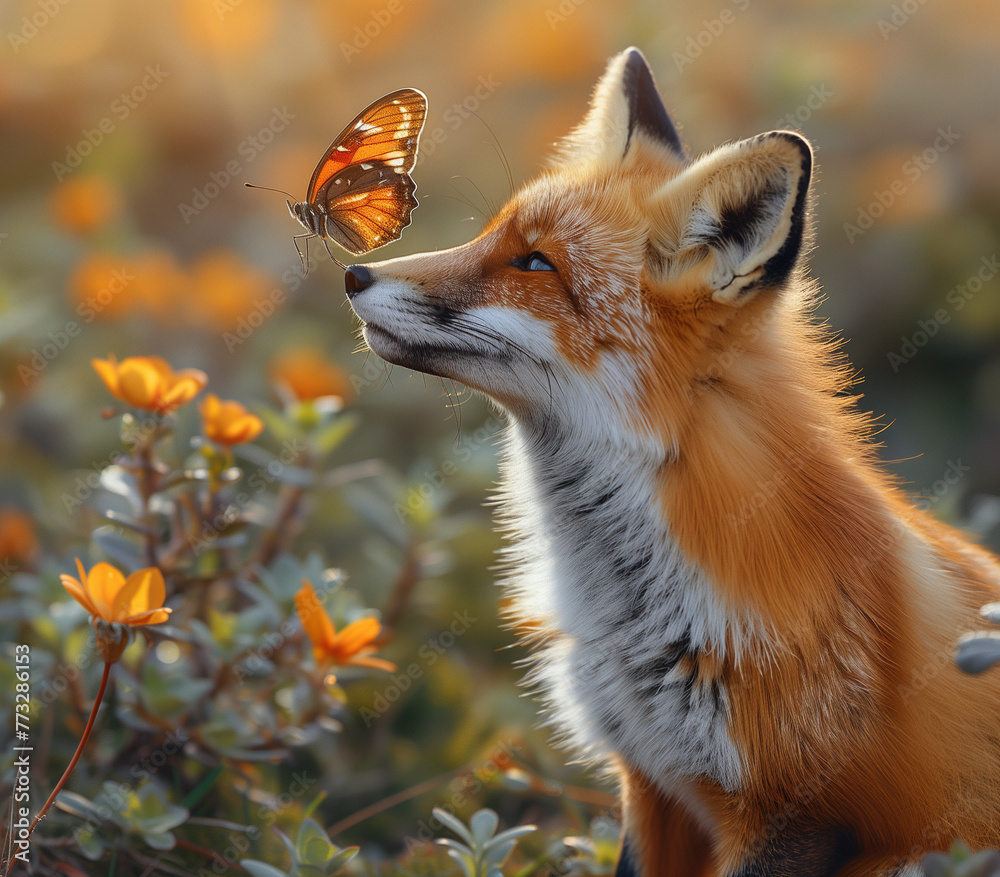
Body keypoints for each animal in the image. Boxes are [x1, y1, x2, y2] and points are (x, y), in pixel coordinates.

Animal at [343, 47, 1000, 876]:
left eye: (534, 263)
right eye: (490, 236)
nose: (354, 276)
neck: (637, 613)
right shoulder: (651, 780)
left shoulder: (799, 814)